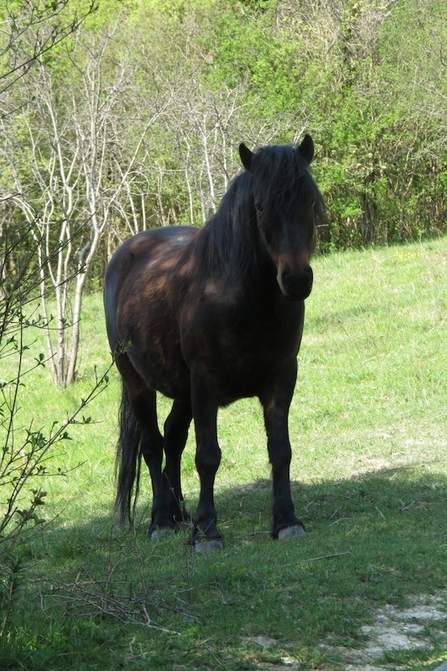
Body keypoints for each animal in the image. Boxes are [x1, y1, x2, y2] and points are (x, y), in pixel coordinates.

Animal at [105, 136, 326, 552]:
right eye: (260, 206)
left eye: (309, 201)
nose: (296, 280)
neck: (245, 300)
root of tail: (126, 253)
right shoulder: (205, 382)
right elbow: (207, 456)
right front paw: (207, 530)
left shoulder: (281, 377)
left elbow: (280, 450)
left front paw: (286, 520)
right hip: (138, 383)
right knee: (153, 445)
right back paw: (162, 520)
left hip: (182, 391)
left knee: (173, 439)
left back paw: (180, 515)